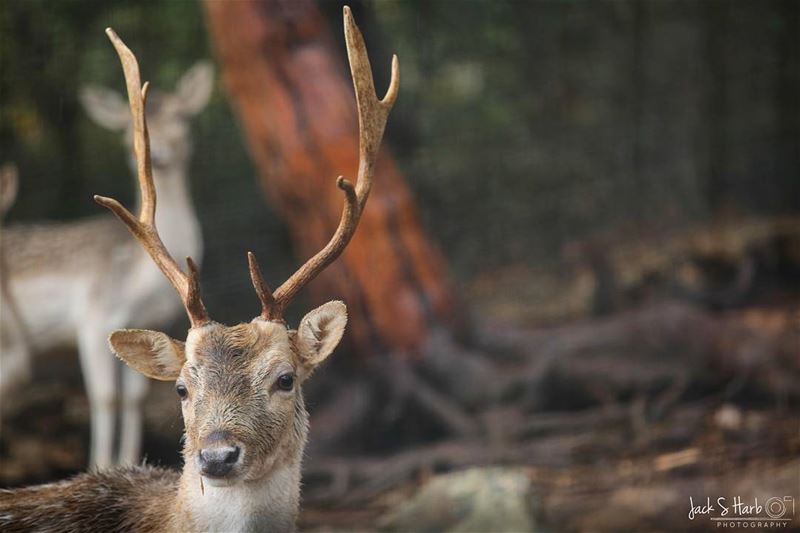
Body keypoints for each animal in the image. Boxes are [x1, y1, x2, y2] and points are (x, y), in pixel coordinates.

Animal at [0, 60, 214, 466]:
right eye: (126, 128)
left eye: (182, 116)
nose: (159, 154)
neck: (138, 280)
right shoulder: (93, 315)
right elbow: (104, 397)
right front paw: (99, 465)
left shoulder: (143, 323)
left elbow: (134, 398)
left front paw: (128, 462)